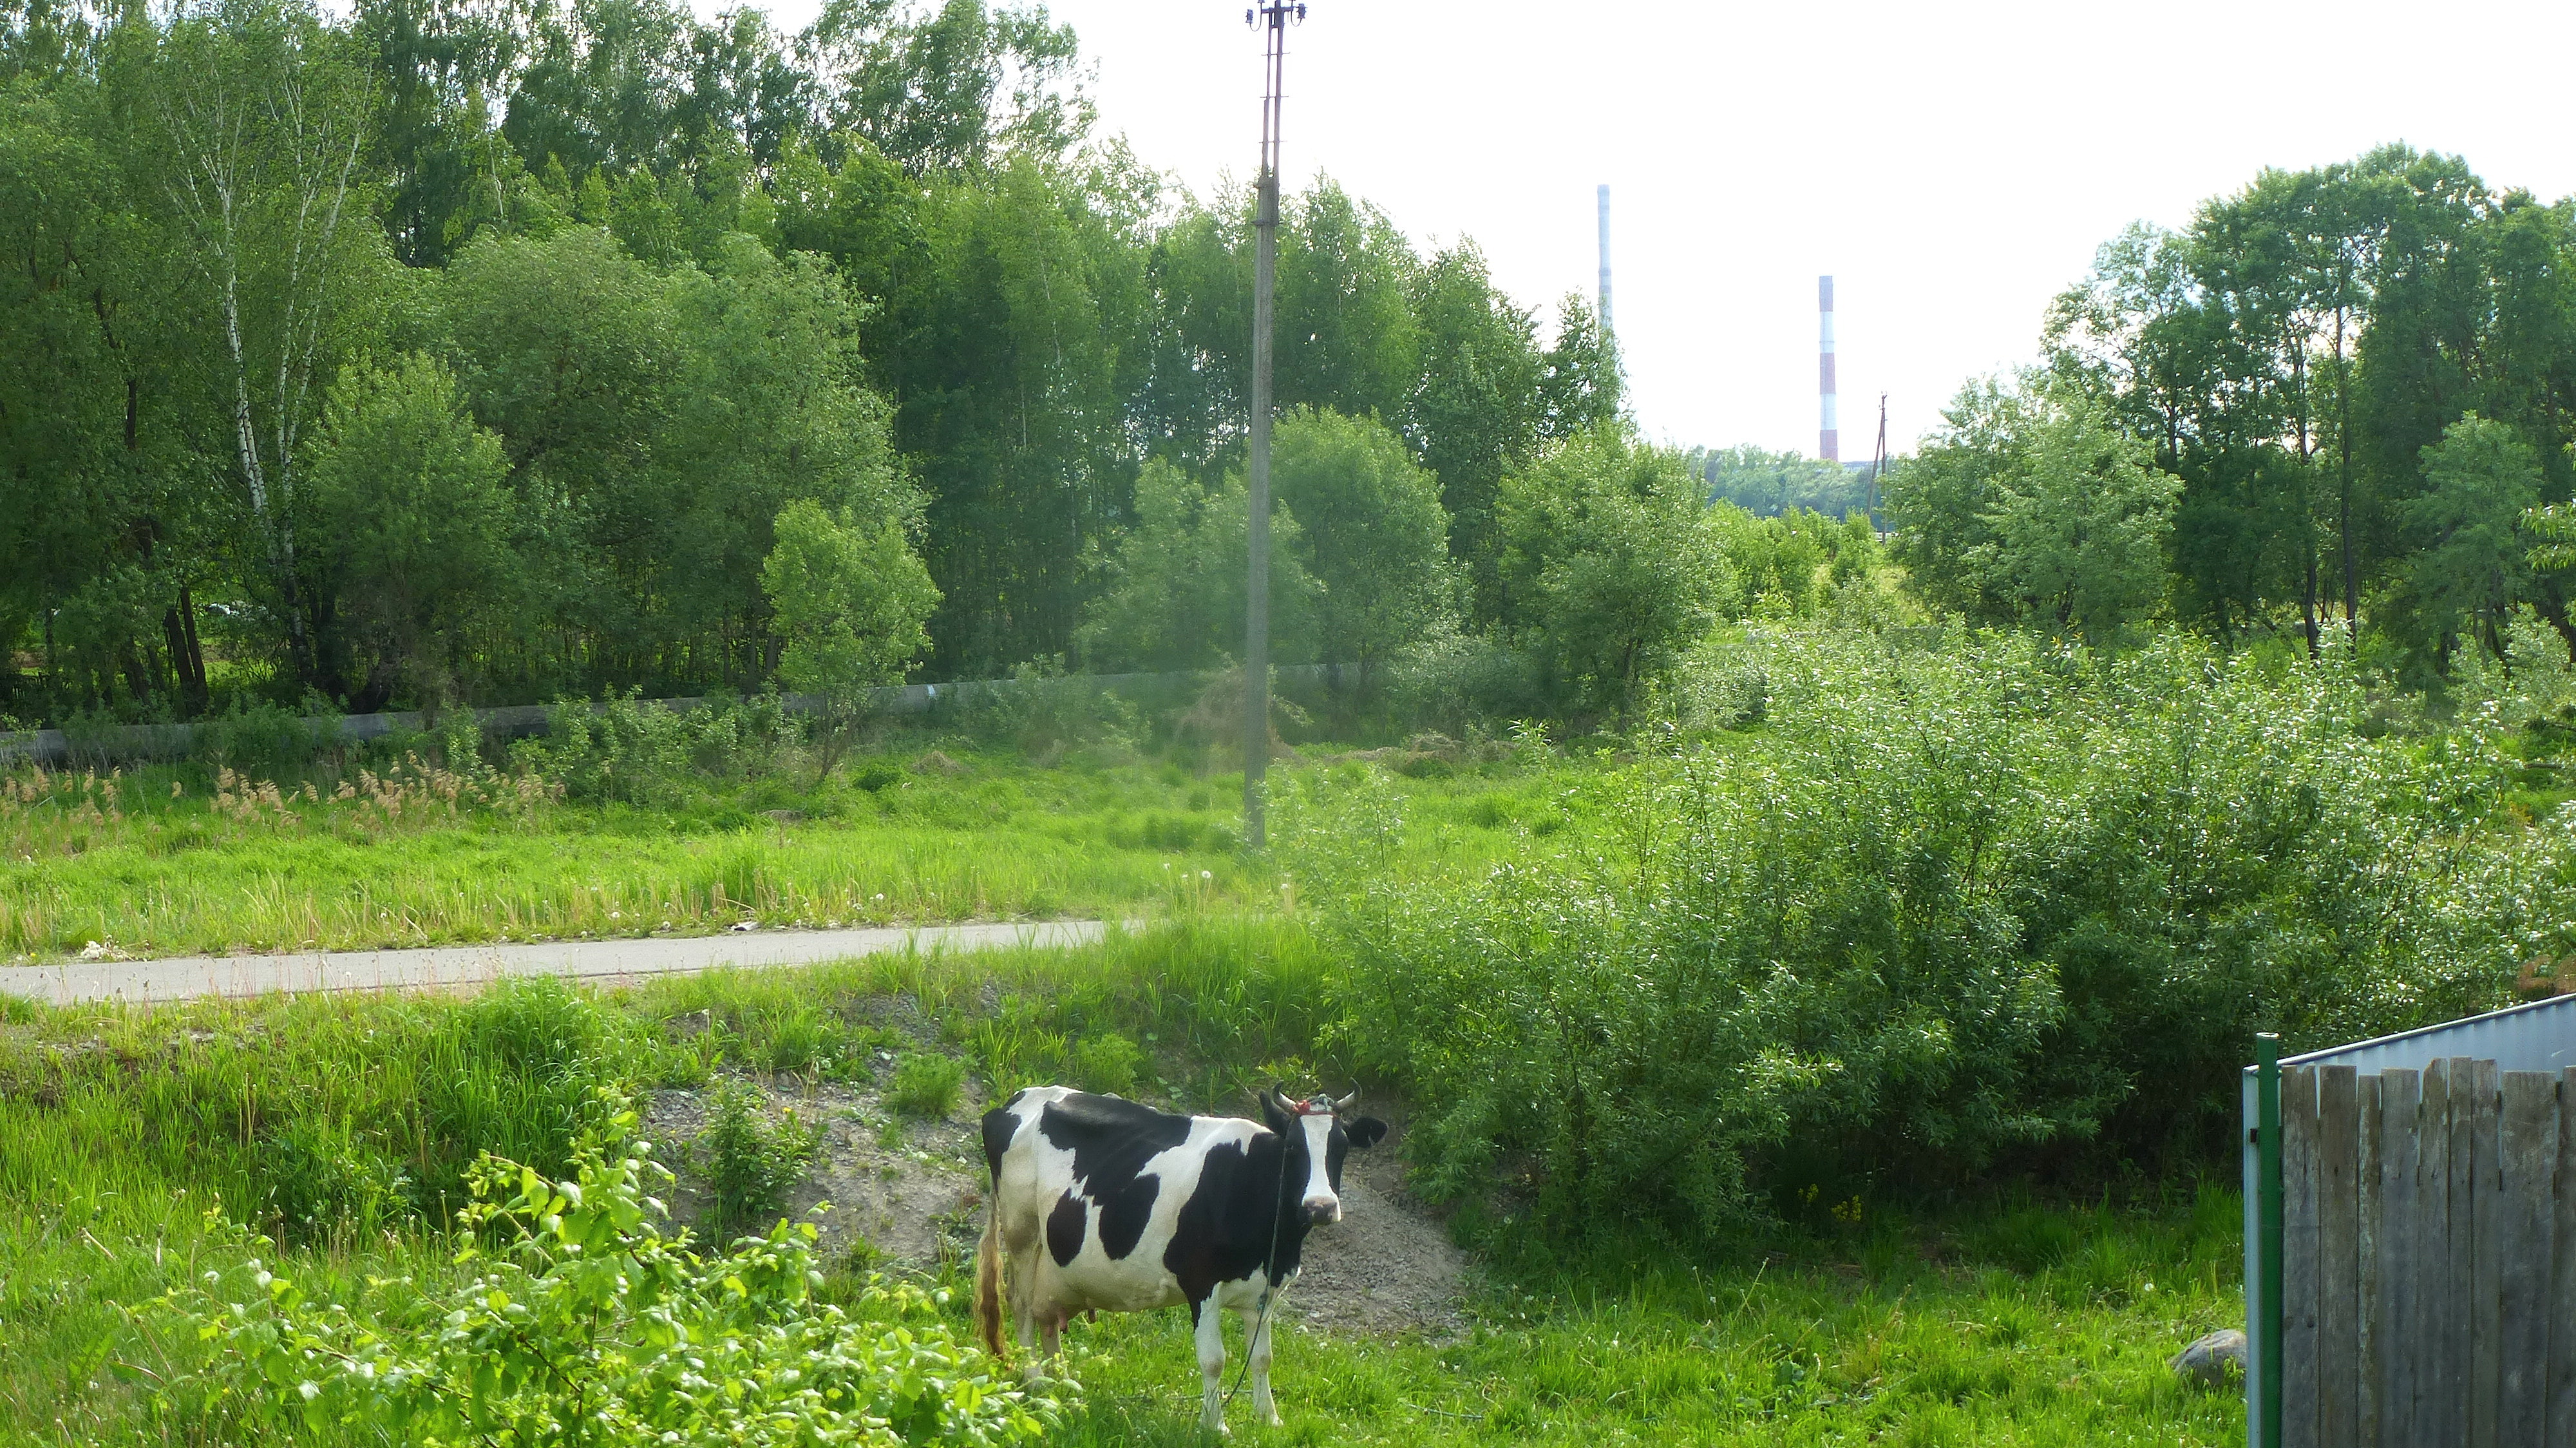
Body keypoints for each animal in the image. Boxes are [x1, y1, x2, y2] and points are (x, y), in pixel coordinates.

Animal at [974, 1077, 1391, 1422]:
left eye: (1342, 1147)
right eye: (1291, 1146)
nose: (1320, 1206)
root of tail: (1017, 1098)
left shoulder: (1267, 1290)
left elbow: (1262, 1358)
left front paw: (1268, 1420)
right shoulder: (1201, 1282)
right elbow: (1213, 1360)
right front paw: (1215, 1425)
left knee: (1047, 1316)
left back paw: (1062, 1384)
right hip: (1022, 1232)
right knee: (1022, 1305)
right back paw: (1036, 1382)